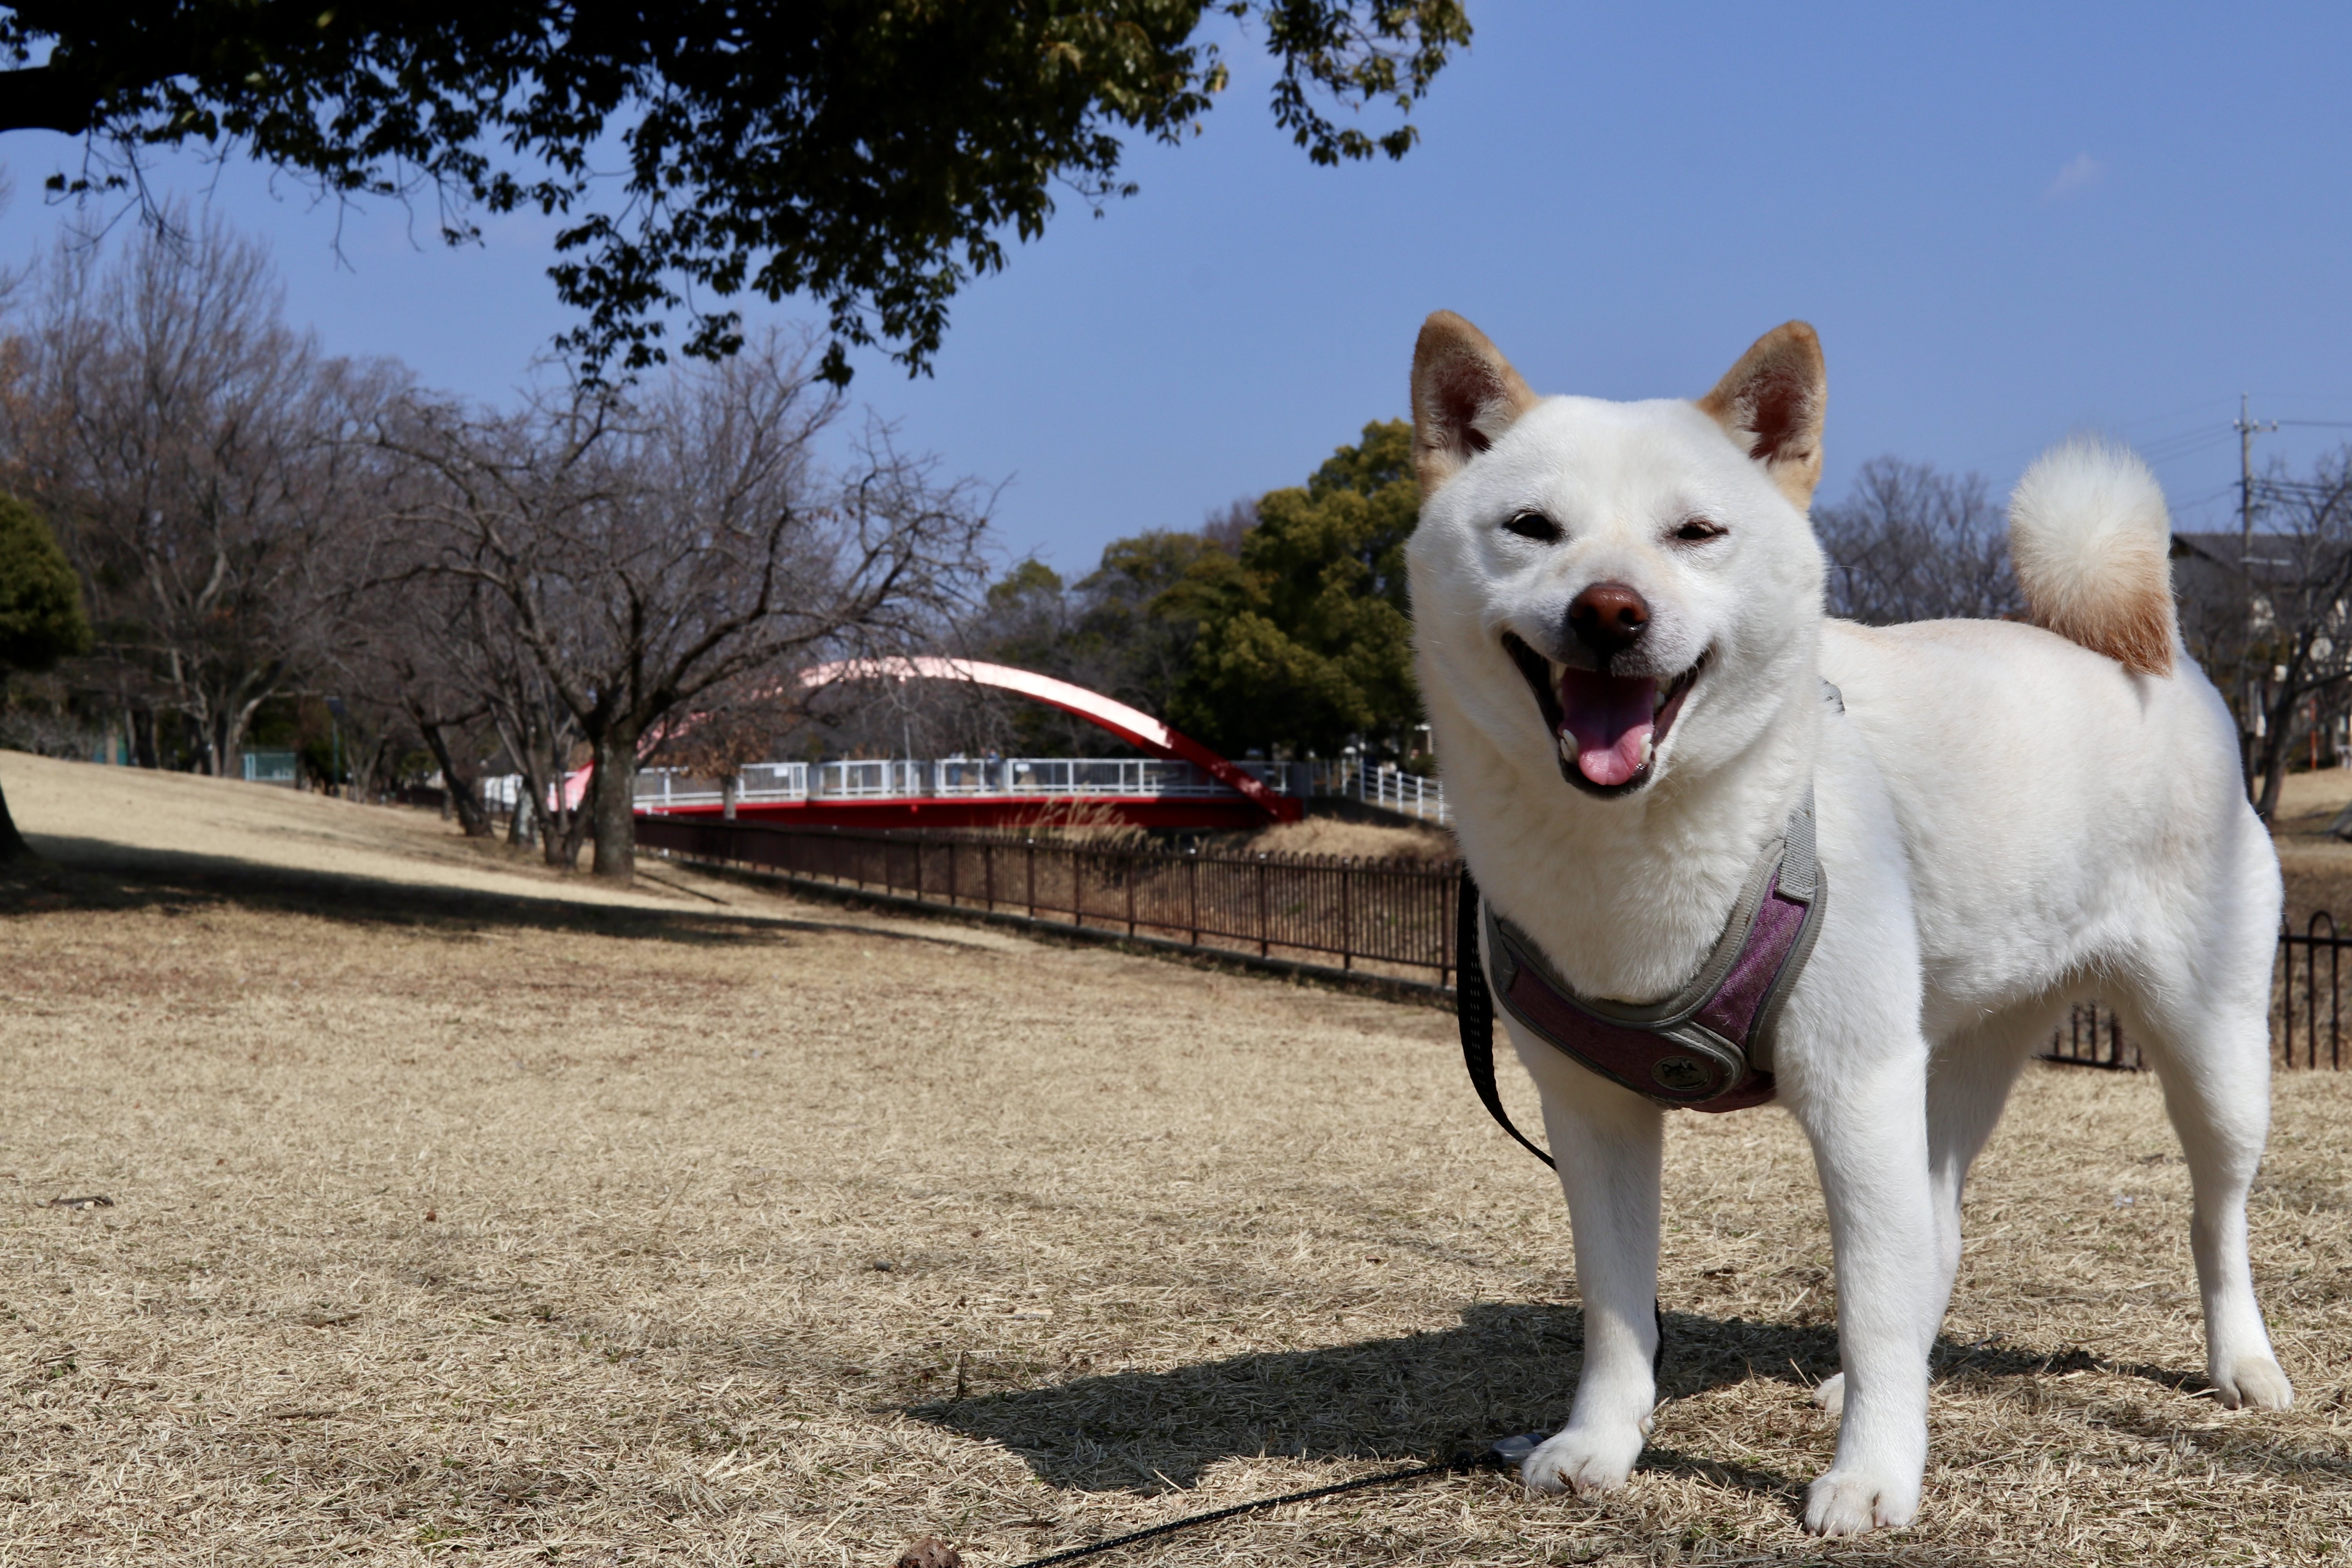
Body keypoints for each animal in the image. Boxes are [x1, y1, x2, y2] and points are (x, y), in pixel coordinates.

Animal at [1402, 315, 2286, 1533]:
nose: (1610, 611)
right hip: (1954, 1047)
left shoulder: (1852, 1084)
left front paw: (1873, 1476)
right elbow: (1617, 1304)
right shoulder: (1593, 1113)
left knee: (2215, 1215)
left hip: (2208, 1047)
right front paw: (1599, 1442)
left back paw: (2241, 1362)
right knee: (1939, 1231)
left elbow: (1866, 1298)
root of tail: (2153, 655)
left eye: (1697, 532)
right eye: (1532, 529)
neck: (1635, 852)